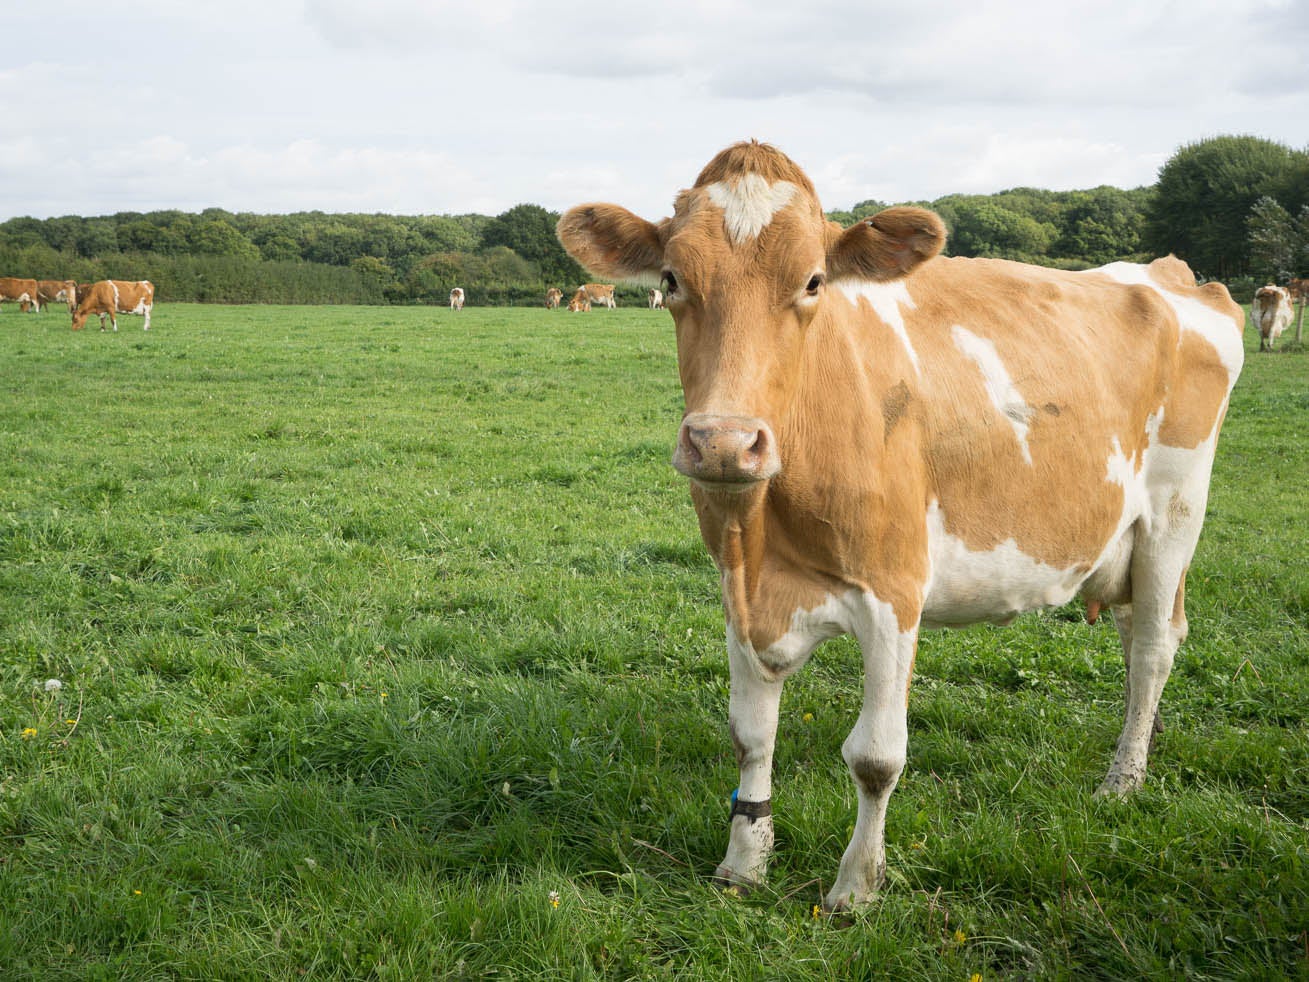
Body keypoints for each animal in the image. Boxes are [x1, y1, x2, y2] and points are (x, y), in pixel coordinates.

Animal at [555, 140, 1246, 916]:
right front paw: (744, 860)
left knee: (1155, 646)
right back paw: (1138, 749)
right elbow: (750, 736)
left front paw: (856, 887)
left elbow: (876, 757)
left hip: (1173, 513)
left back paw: (1121, 782)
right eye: (671, 280)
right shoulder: (737, 590)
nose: (724, 443)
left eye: (814, 282)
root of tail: (1166, 272)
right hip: (1121, 539)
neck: (764, 542)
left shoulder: (893, 589)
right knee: (1135, 640)